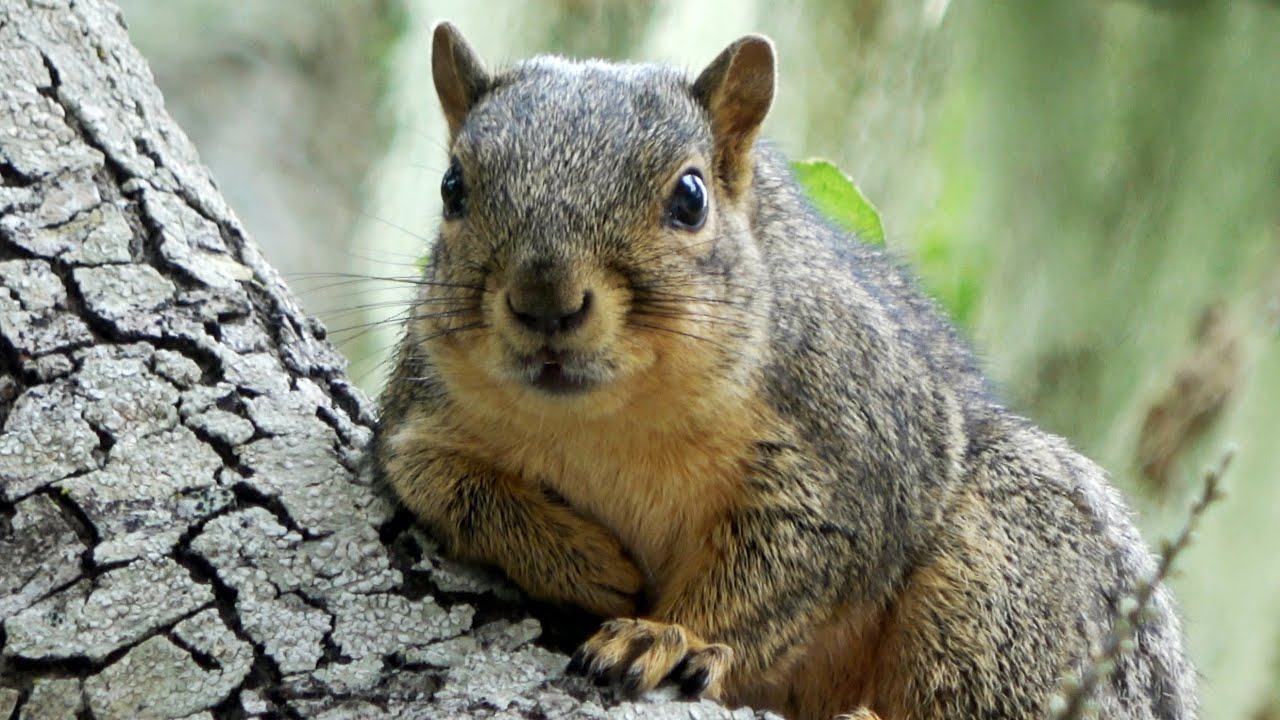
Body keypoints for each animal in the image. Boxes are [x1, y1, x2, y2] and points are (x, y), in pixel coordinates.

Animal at [373, 22, 1198, 720]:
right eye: (452, 188)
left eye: (690, 196)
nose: (545, 301)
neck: (606, 424)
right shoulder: (420, 418)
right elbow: (441, 483)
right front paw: (585, 563)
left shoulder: (851, 457)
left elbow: (782, 574)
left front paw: (662, 634)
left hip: (1012, 563)